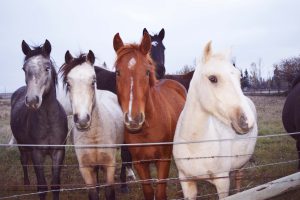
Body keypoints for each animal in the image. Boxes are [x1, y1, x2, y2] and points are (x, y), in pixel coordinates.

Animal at [10, 39, 68, 199]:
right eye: (24, 69)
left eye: (47, 68)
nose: (32, 100)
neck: (48, 123)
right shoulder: (37, 153)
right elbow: (42, 186)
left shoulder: (58, 152)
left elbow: (55, 185)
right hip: (22, 145)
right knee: (24, 161)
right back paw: (26, 183)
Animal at [113, 32, 186, 199]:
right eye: (117, 72)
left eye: (147, 72)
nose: (133, 119)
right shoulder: (140, 163)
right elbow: (148, 191)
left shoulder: (163, 160)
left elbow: (160, 192)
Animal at [173, 41, 258, 199]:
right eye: (212, 78)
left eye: (239, 77)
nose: (247, 121)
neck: (195, 144)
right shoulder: (186, 181)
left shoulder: (222, 181)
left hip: (241, 164)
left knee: (238, 177)